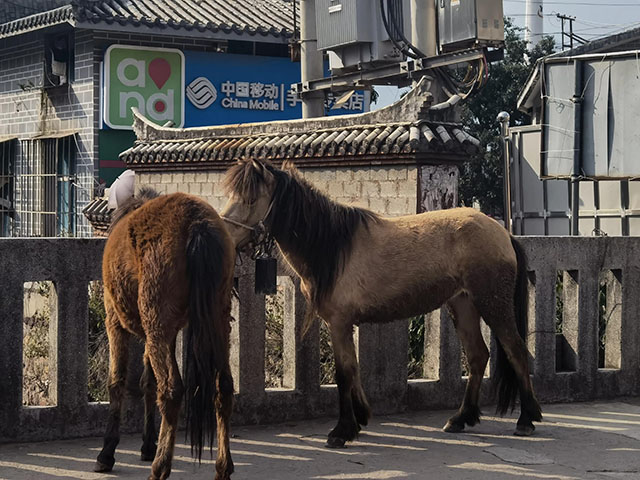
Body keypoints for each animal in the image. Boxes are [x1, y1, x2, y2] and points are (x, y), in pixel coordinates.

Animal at [95, 189, 235, 478]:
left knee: (171, 391)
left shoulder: (114, 320)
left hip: (156, 317)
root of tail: (197, 225)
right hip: (215, 317)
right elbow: (148, 382)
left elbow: (117, 382)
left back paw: (160, 467)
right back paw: (222, 467)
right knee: (223, 386)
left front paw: (107, 452)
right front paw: (148, 444)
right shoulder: (163, 333)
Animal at [222, 159, 544, 448]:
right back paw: (461, 418)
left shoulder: (339, 322)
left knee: (516, 351)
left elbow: (344, 373)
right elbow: (354, 368)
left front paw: (342, 430)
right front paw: (361, 416)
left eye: (250, 198)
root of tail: (503, 232)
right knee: (478, 355)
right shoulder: (344, 325)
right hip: (463, 304)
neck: (332, 246)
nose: (227, 236)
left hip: (493, 302)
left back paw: (526, 419)